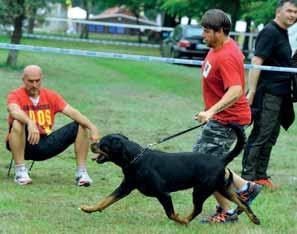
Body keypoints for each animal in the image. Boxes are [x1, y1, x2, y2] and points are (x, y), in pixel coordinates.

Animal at [80, 124, 260, 225]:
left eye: (102, 144)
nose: (92, 144)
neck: (135, 158)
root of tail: (220, 160)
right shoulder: (125, 187)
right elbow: (106, 200)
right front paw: (89, 208)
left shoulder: (163, 194)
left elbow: (171, 213)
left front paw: (180, 220)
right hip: (222, 188)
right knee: (243, 202)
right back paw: (255, 219)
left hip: (201, 190)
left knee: (198, 208)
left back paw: (186, 220)